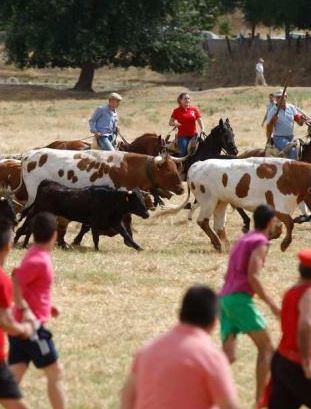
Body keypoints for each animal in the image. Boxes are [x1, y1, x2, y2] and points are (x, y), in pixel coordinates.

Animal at [14, 181, 150, 250]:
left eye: (142, 199)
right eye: (136, 200)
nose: (147, 214)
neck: (110, 200)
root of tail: (46, 183)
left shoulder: (115, 222)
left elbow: (126, 234)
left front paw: (138, 247)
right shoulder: (94, 222)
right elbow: (95, 237)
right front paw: (97, 250)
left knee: (29, 227)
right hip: (38, 211)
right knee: (28, 225)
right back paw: (22, 243)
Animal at [15, 147, 184, 209]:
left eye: (176, 168)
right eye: (169, 171)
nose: (181, 189)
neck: (128, 167)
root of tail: (30, 154)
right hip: (32, 191)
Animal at [158, 158, 311, 250]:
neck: (292, 175)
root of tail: (197, 165)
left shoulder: (279, 210)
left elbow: (278, 230)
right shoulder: (280, 208)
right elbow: (289, 224)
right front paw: (284, 244)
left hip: (221, 202)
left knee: (219, 226)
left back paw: (227, 247)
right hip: (208, 201)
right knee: (203, 221)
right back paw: (218, 244)